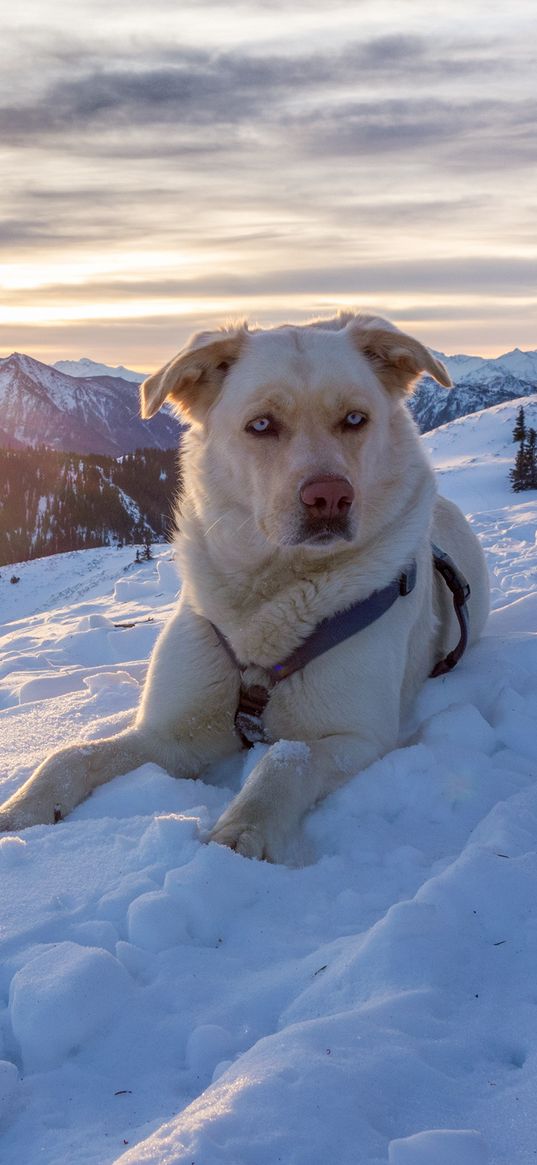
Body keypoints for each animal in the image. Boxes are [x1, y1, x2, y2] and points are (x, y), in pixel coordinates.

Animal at [0, 314, 489, 862]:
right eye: (261, 425)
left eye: (355, 419)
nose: (330, 497)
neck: (269, 597)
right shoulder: (174, 732)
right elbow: (70, 754)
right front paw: (21, 812)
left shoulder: (358, 737)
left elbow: (283, 760)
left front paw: (239, 835)